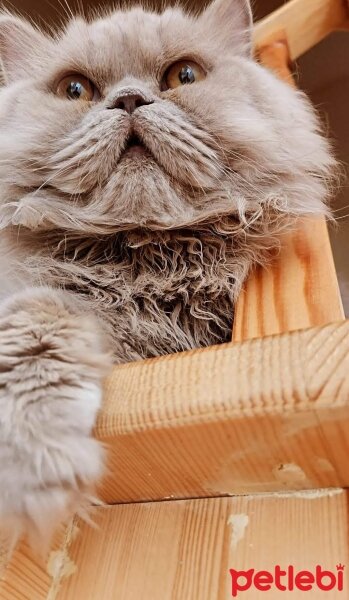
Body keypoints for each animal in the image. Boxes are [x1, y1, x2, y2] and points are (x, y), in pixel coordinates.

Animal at [0, 0, 334, 544]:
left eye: (184, 76)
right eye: (76, 90)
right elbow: (36, 329)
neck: (149, 265)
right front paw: (30, 463)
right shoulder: (47, 298)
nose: (129, 99)